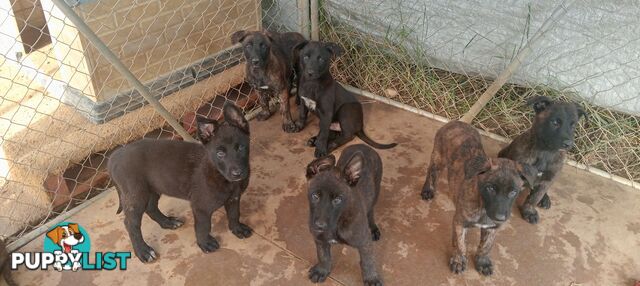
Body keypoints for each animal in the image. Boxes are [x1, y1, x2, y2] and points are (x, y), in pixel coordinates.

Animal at [107, 102, 252, 262]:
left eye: (241, 147)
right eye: (220, 153)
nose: (237, 173)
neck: (219, 173)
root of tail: (114, 157)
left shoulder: (234, 198)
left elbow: (234, 214)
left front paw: (237, 229)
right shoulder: (200, 207)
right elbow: (203, 226)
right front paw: (205, 243)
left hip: (153, 188)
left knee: (151, 208)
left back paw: (167, 222)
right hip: (136, 194)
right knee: (130, 224)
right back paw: (143, 251)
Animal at [304, 145, 380, 286]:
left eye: (338, 200)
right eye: (315, 196)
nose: (320, 225)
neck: (338, 221)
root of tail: (363, 145)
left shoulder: (364, 241)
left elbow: (368, 261)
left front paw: (372, 278)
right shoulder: (319, 238)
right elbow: (323, 256)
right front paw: (322, 270)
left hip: (376, 190)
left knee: (370, 209)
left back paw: (373, 228)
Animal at [420, 121, 536, 278]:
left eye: (513, 192)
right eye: (490, 188)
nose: (500, 217)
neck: (483, 206)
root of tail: (456, 122)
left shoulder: (492, 228)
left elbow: (486, 246)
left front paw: (483, 262)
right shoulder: (459, 222)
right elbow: (460, 244)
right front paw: (458, 260)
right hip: (438, 157)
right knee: (431, 171)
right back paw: (428, 190)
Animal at [498, 95, 588, 223]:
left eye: (573, 125)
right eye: (554, 122)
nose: (568, 144)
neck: (545, 152)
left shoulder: (548, 179)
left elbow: (535, 198)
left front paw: (529, 211)